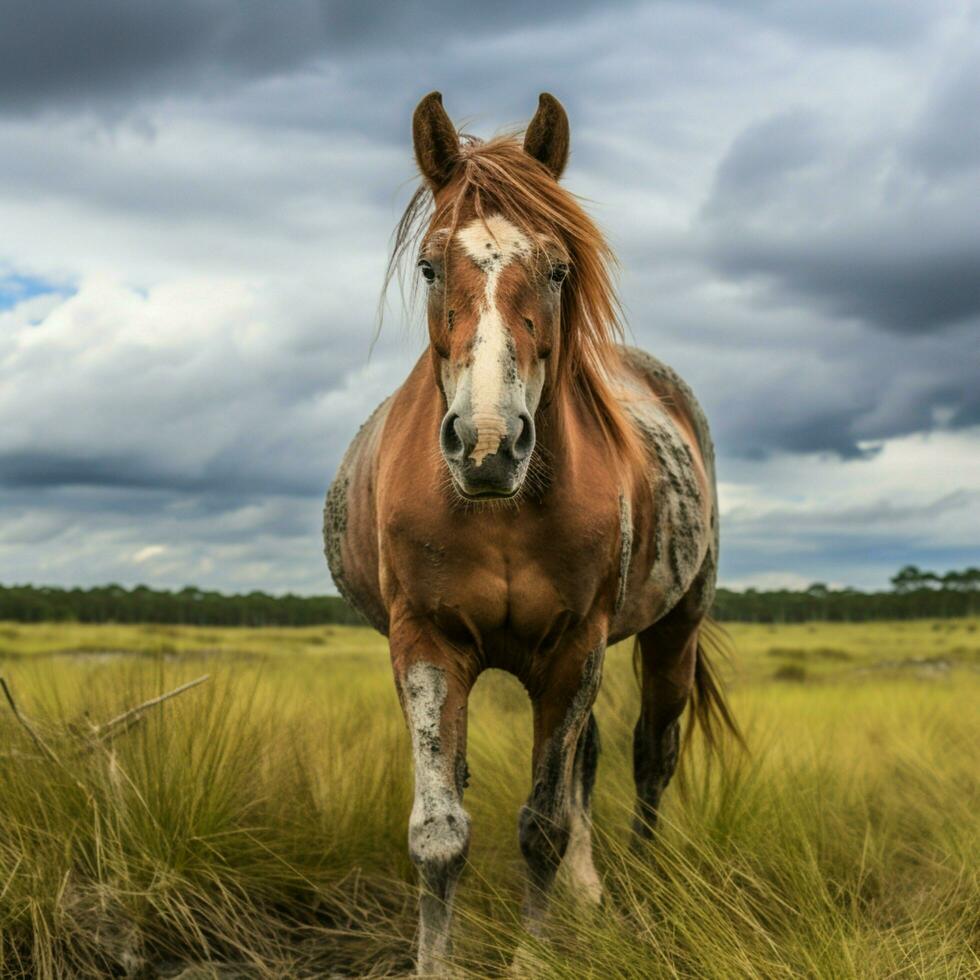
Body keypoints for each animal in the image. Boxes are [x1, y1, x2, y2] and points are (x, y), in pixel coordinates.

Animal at [326, 90, 740, 972]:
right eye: (429, 265)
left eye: (556, 268)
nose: (488, 443)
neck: (498, 510)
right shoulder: (427, 644)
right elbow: (440, 831)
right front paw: (435, 963)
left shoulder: (573, 650)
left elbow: (544, 823)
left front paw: (537, 956)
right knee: (584, 763)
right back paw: (591, 895)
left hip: (674, 629)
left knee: (651, 755)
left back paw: (640, 892)